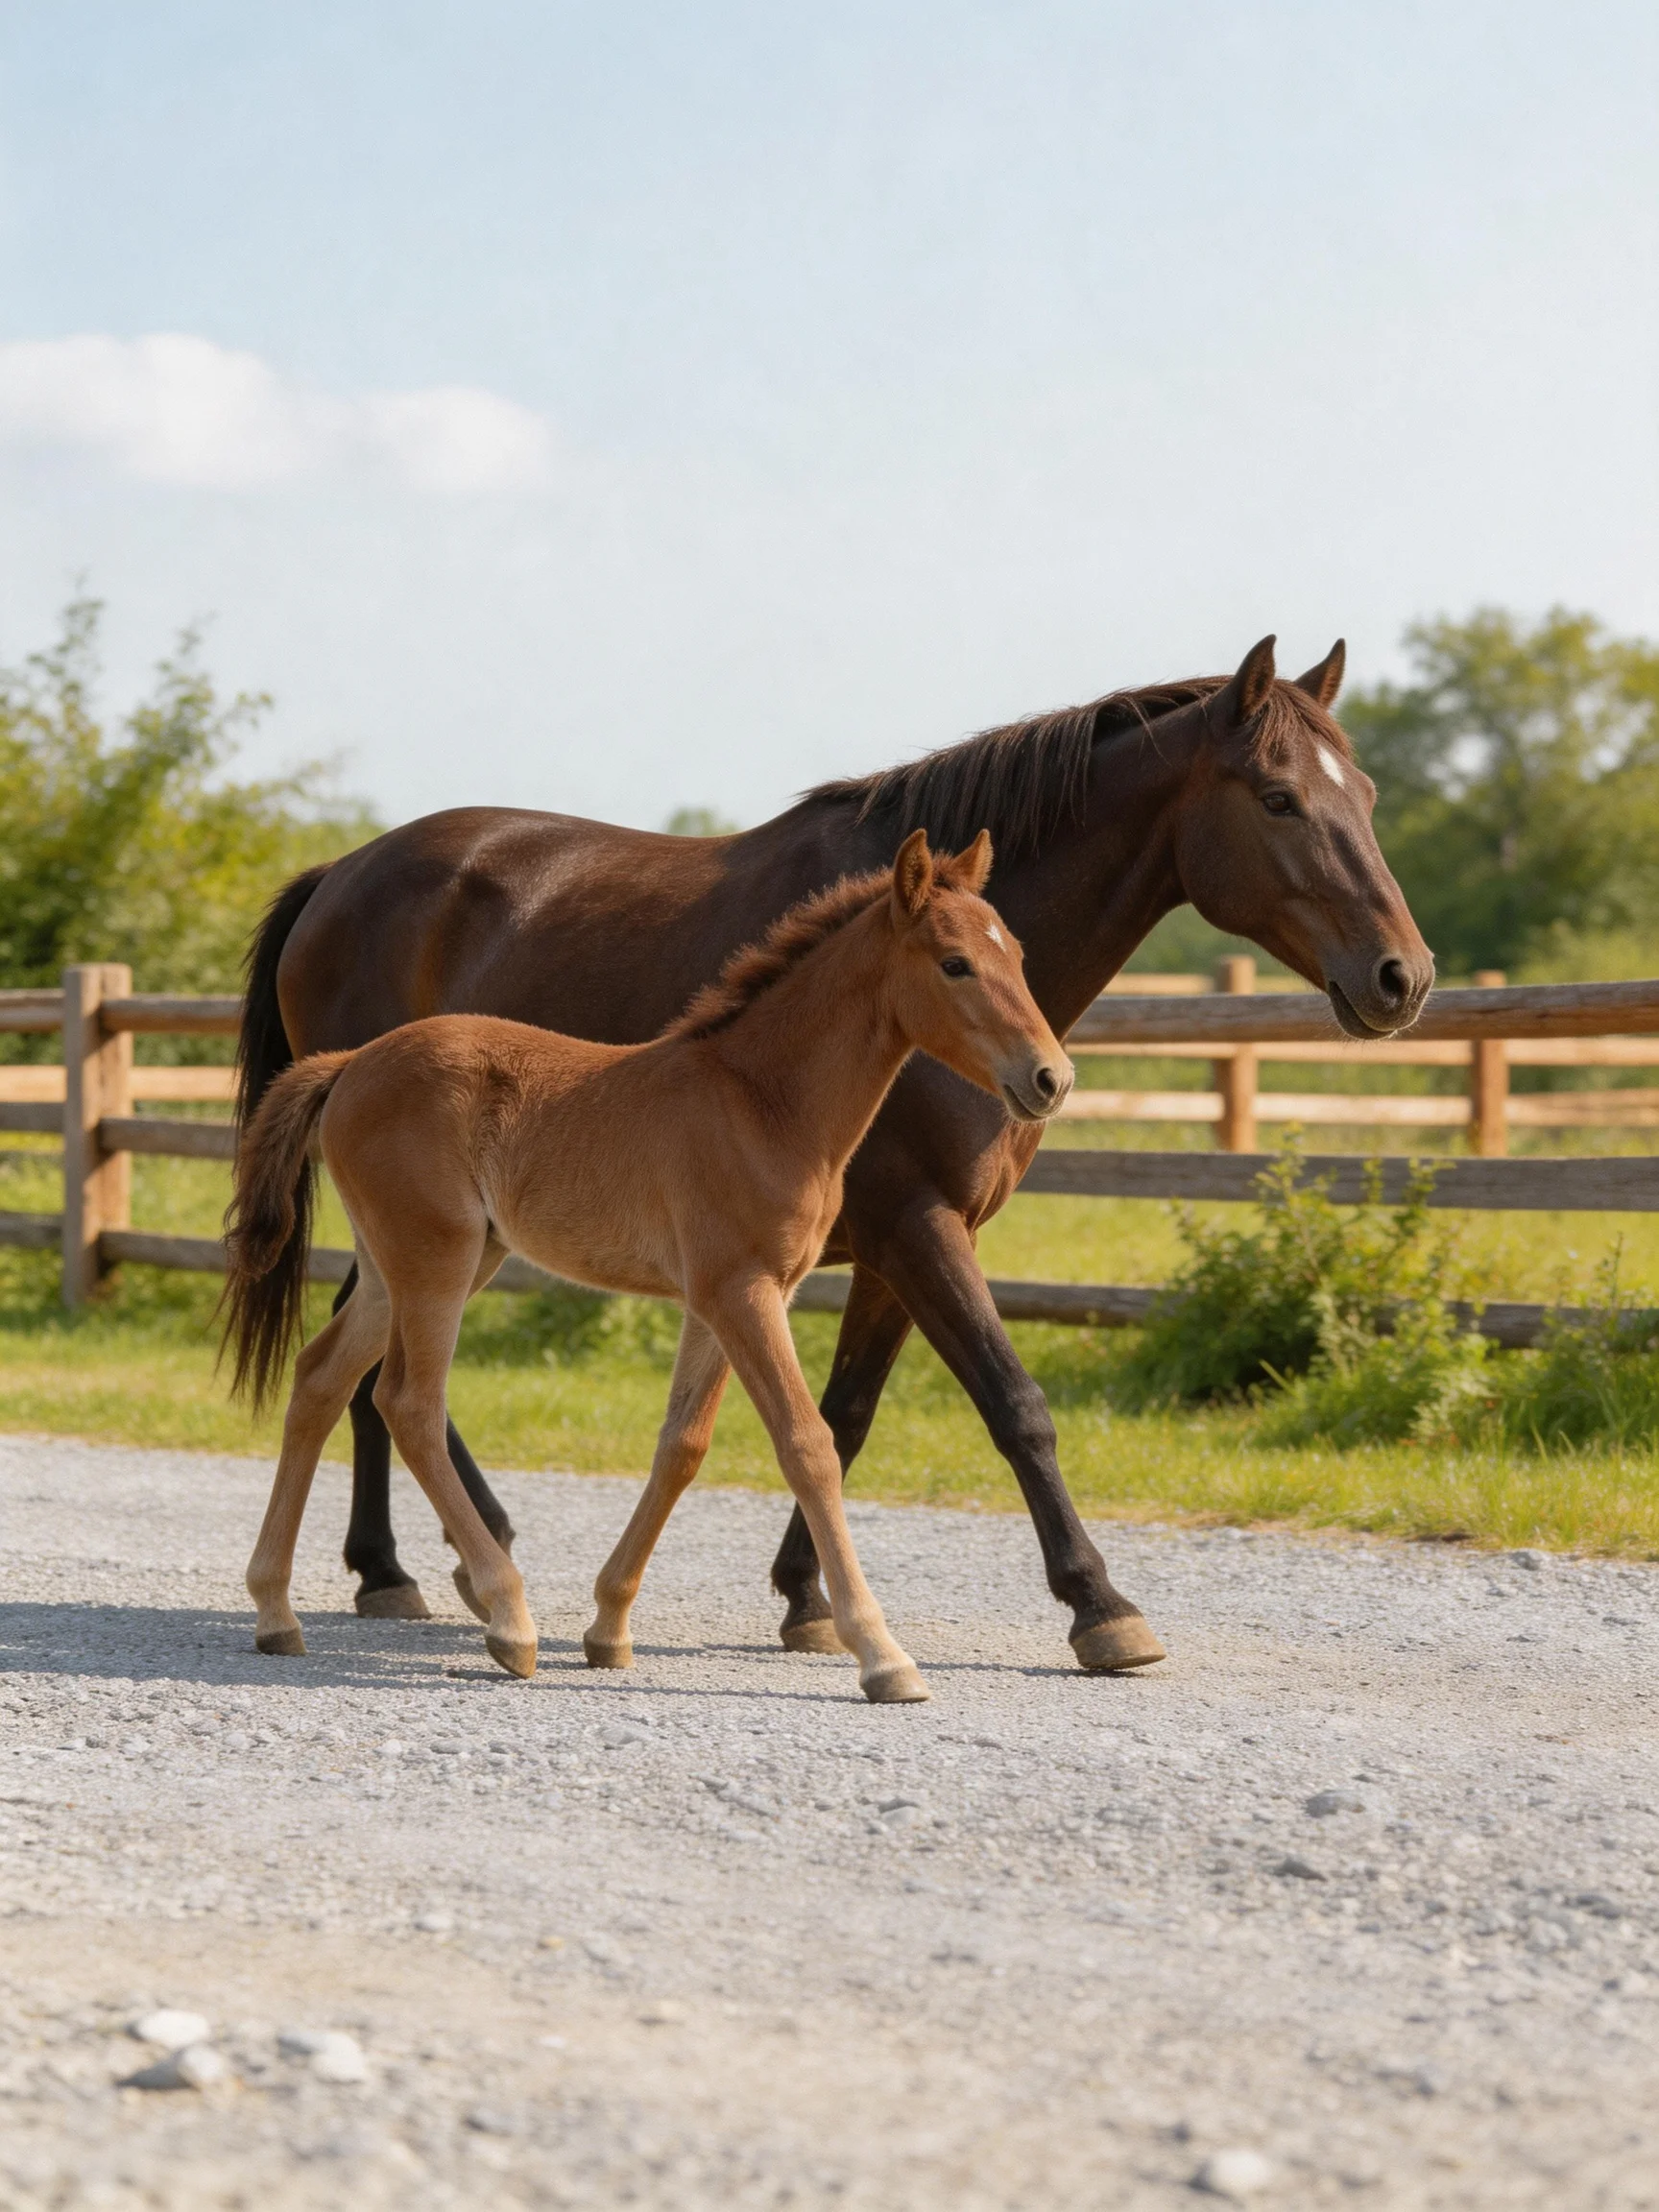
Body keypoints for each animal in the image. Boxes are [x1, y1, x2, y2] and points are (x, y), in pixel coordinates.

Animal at [225, 831, 1070, 1701]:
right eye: (954, 963)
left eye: (1017, 953)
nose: (1051, 1078)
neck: (763, 1101)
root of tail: (350, 1064)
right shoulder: (743, 1291)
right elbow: (808, 1446)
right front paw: (881, 1653)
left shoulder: (726, 1298)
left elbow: (681, 1447)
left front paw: (609, 1626)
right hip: (437, 1260)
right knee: (407, 1401)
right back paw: (507, 1618)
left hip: (406, 1266)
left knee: (321, 1377)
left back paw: (275, 1611)